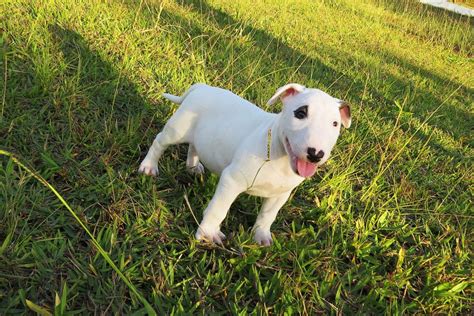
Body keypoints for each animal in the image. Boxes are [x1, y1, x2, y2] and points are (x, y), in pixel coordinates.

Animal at [139, 82, 350, 246]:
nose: (315, 154)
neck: (278, 155)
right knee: (159, 142)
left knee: (194, 145)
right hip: (177, 129)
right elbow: (218, 209)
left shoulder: (281, 195)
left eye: (335, 124)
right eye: (300, 113)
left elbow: (268, 215)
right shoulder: (232, 181)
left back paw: (192, 167)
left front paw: (261, 236)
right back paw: (149, 167)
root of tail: (202, 87)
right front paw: (208, 233)